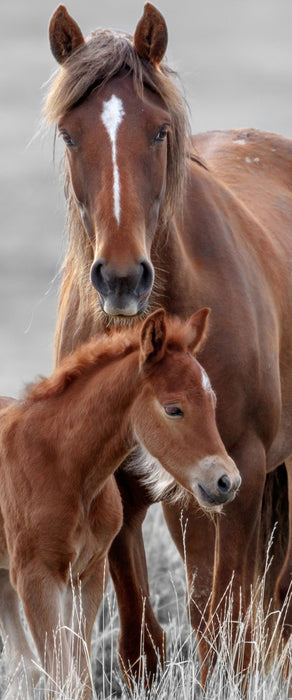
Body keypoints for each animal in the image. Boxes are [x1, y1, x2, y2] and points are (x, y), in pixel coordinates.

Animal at [0, 312, 240, 700]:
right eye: (174, 409)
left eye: (212, 402)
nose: (226, 481)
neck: (64, 467)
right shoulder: (36, 577)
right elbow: (60, 677)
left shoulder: (88, 574)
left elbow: (78, 678)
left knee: (22, 666)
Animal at [46, 2, 292, 688]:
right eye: (69, 135)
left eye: (158, 132)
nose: (122, 278)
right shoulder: (126, 483)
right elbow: (142, 638)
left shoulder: (241, 472)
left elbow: (224, 625)